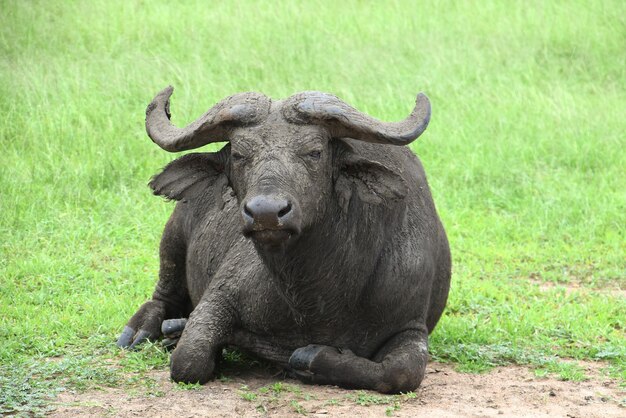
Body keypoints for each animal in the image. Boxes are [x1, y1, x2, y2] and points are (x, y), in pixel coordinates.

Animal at [117, 86, 448, 394]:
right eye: (238, 154)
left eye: (314, 152)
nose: (265, 213)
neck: (318, 295)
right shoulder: (218, 298)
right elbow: (189, 360)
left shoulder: (411, 325)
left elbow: (401, 373)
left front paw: (307, 359)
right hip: (172, 239)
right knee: (163, 296)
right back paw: (140, 331)